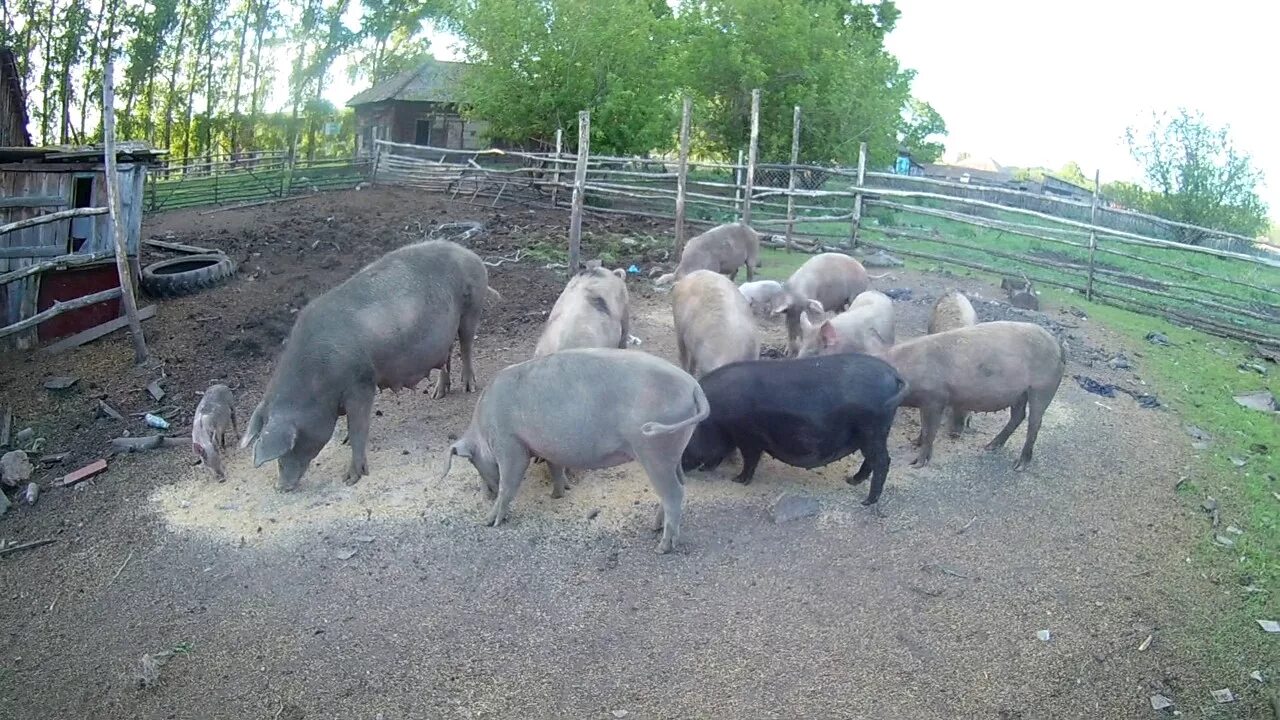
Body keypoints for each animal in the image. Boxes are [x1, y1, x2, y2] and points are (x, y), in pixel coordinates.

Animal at [240, 239, 499, 486]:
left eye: (292, 444)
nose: (281, 487)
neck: (317, 381)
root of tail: (469, 254)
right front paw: (344, 443)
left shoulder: (362, 383)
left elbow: (358, 428)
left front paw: (350, 479)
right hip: (446, 332)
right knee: (447, 355)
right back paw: (438, 394)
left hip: (472, 307)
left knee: (466, 344)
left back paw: (469, 387)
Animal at [442, 345, 711, 550]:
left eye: (473, 461)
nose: (484, 493)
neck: (484, 427)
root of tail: (693, 387)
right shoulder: (547, 447)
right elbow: (555, 467)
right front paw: (557, 494)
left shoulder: (510, 443)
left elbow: (509, 483)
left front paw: (489, 522)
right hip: (673, 448)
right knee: (678, 485)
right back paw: (654, 527)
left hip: (654, 449)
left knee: (674, 492)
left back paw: (662, 547)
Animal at [880, 320, 1070, 468]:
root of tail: (1057, 344)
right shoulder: (926, 402)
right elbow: (924, 428)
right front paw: (914, 442)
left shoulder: (935, 399)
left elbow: (929, 431)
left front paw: (916, 464)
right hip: (1020, 394)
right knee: (1019, 416)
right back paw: (990, 447)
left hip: (1042, 388)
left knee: (1035, 422)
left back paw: (1019, 466)